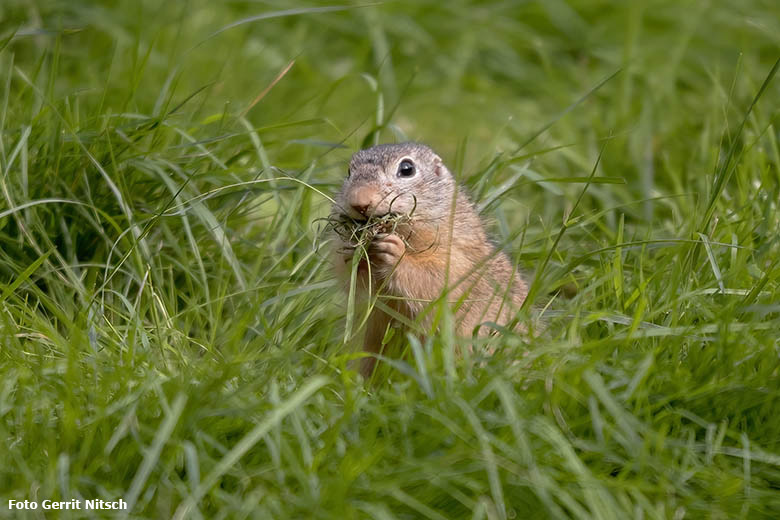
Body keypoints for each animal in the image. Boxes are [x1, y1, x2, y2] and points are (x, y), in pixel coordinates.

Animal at [330, 143, 532, 378]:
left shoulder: (457, 257)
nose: (359, 202)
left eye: (407, 169)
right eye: (348, 172)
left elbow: (435, 281)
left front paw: (395, 252)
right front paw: (354, 251)